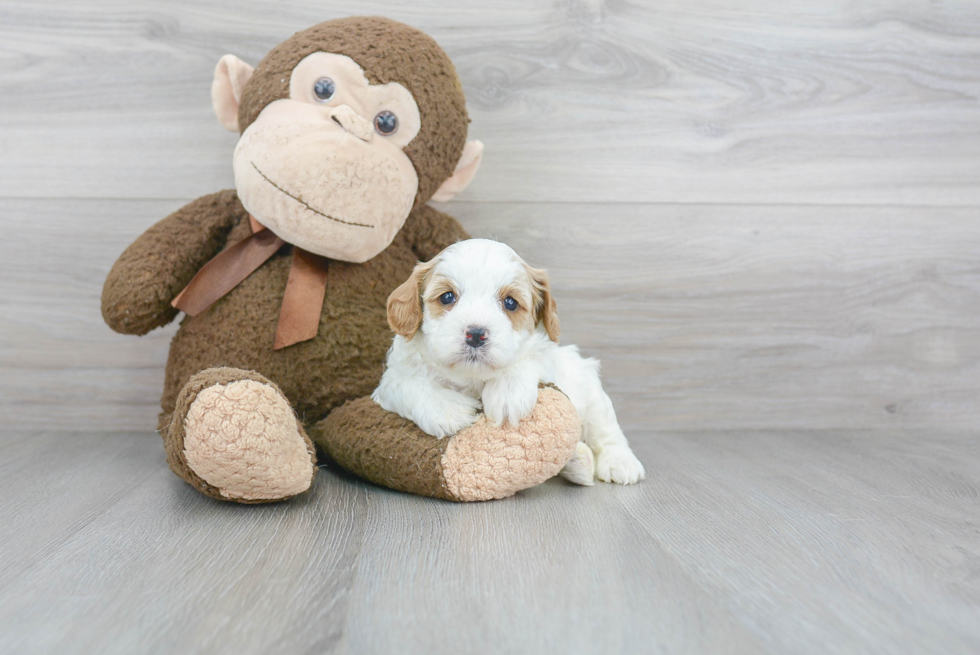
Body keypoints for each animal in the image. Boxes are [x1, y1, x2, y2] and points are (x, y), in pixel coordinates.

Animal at [372, 238, 648, 484]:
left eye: (510, 303)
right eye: (447, 297)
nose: (476, 334)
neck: (471, 377)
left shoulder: (547, 355)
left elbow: (528, 360)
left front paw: (506, 392)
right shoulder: (389, 382)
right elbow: (408, 384)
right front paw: (447, 409)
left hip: (590, 390)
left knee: (606, 430)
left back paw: (620, 463)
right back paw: (578, 460)